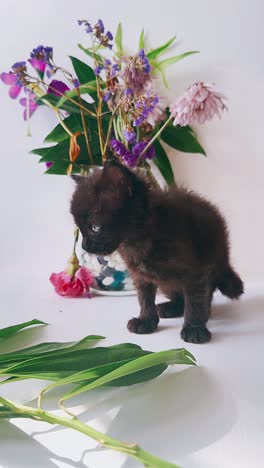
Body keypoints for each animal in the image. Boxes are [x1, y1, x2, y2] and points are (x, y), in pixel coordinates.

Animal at [70, 161, 243, 344]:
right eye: (79, 228)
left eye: (95, 228)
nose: (85, 246)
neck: (137, 241)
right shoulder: (140, 275)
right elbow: (145, 298)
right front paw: (146, 321)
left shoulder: (196, 271)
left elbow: (195, 299)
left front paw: (194, 328)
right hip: (166, 283)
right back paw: (171, 307)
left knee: (205, 295)